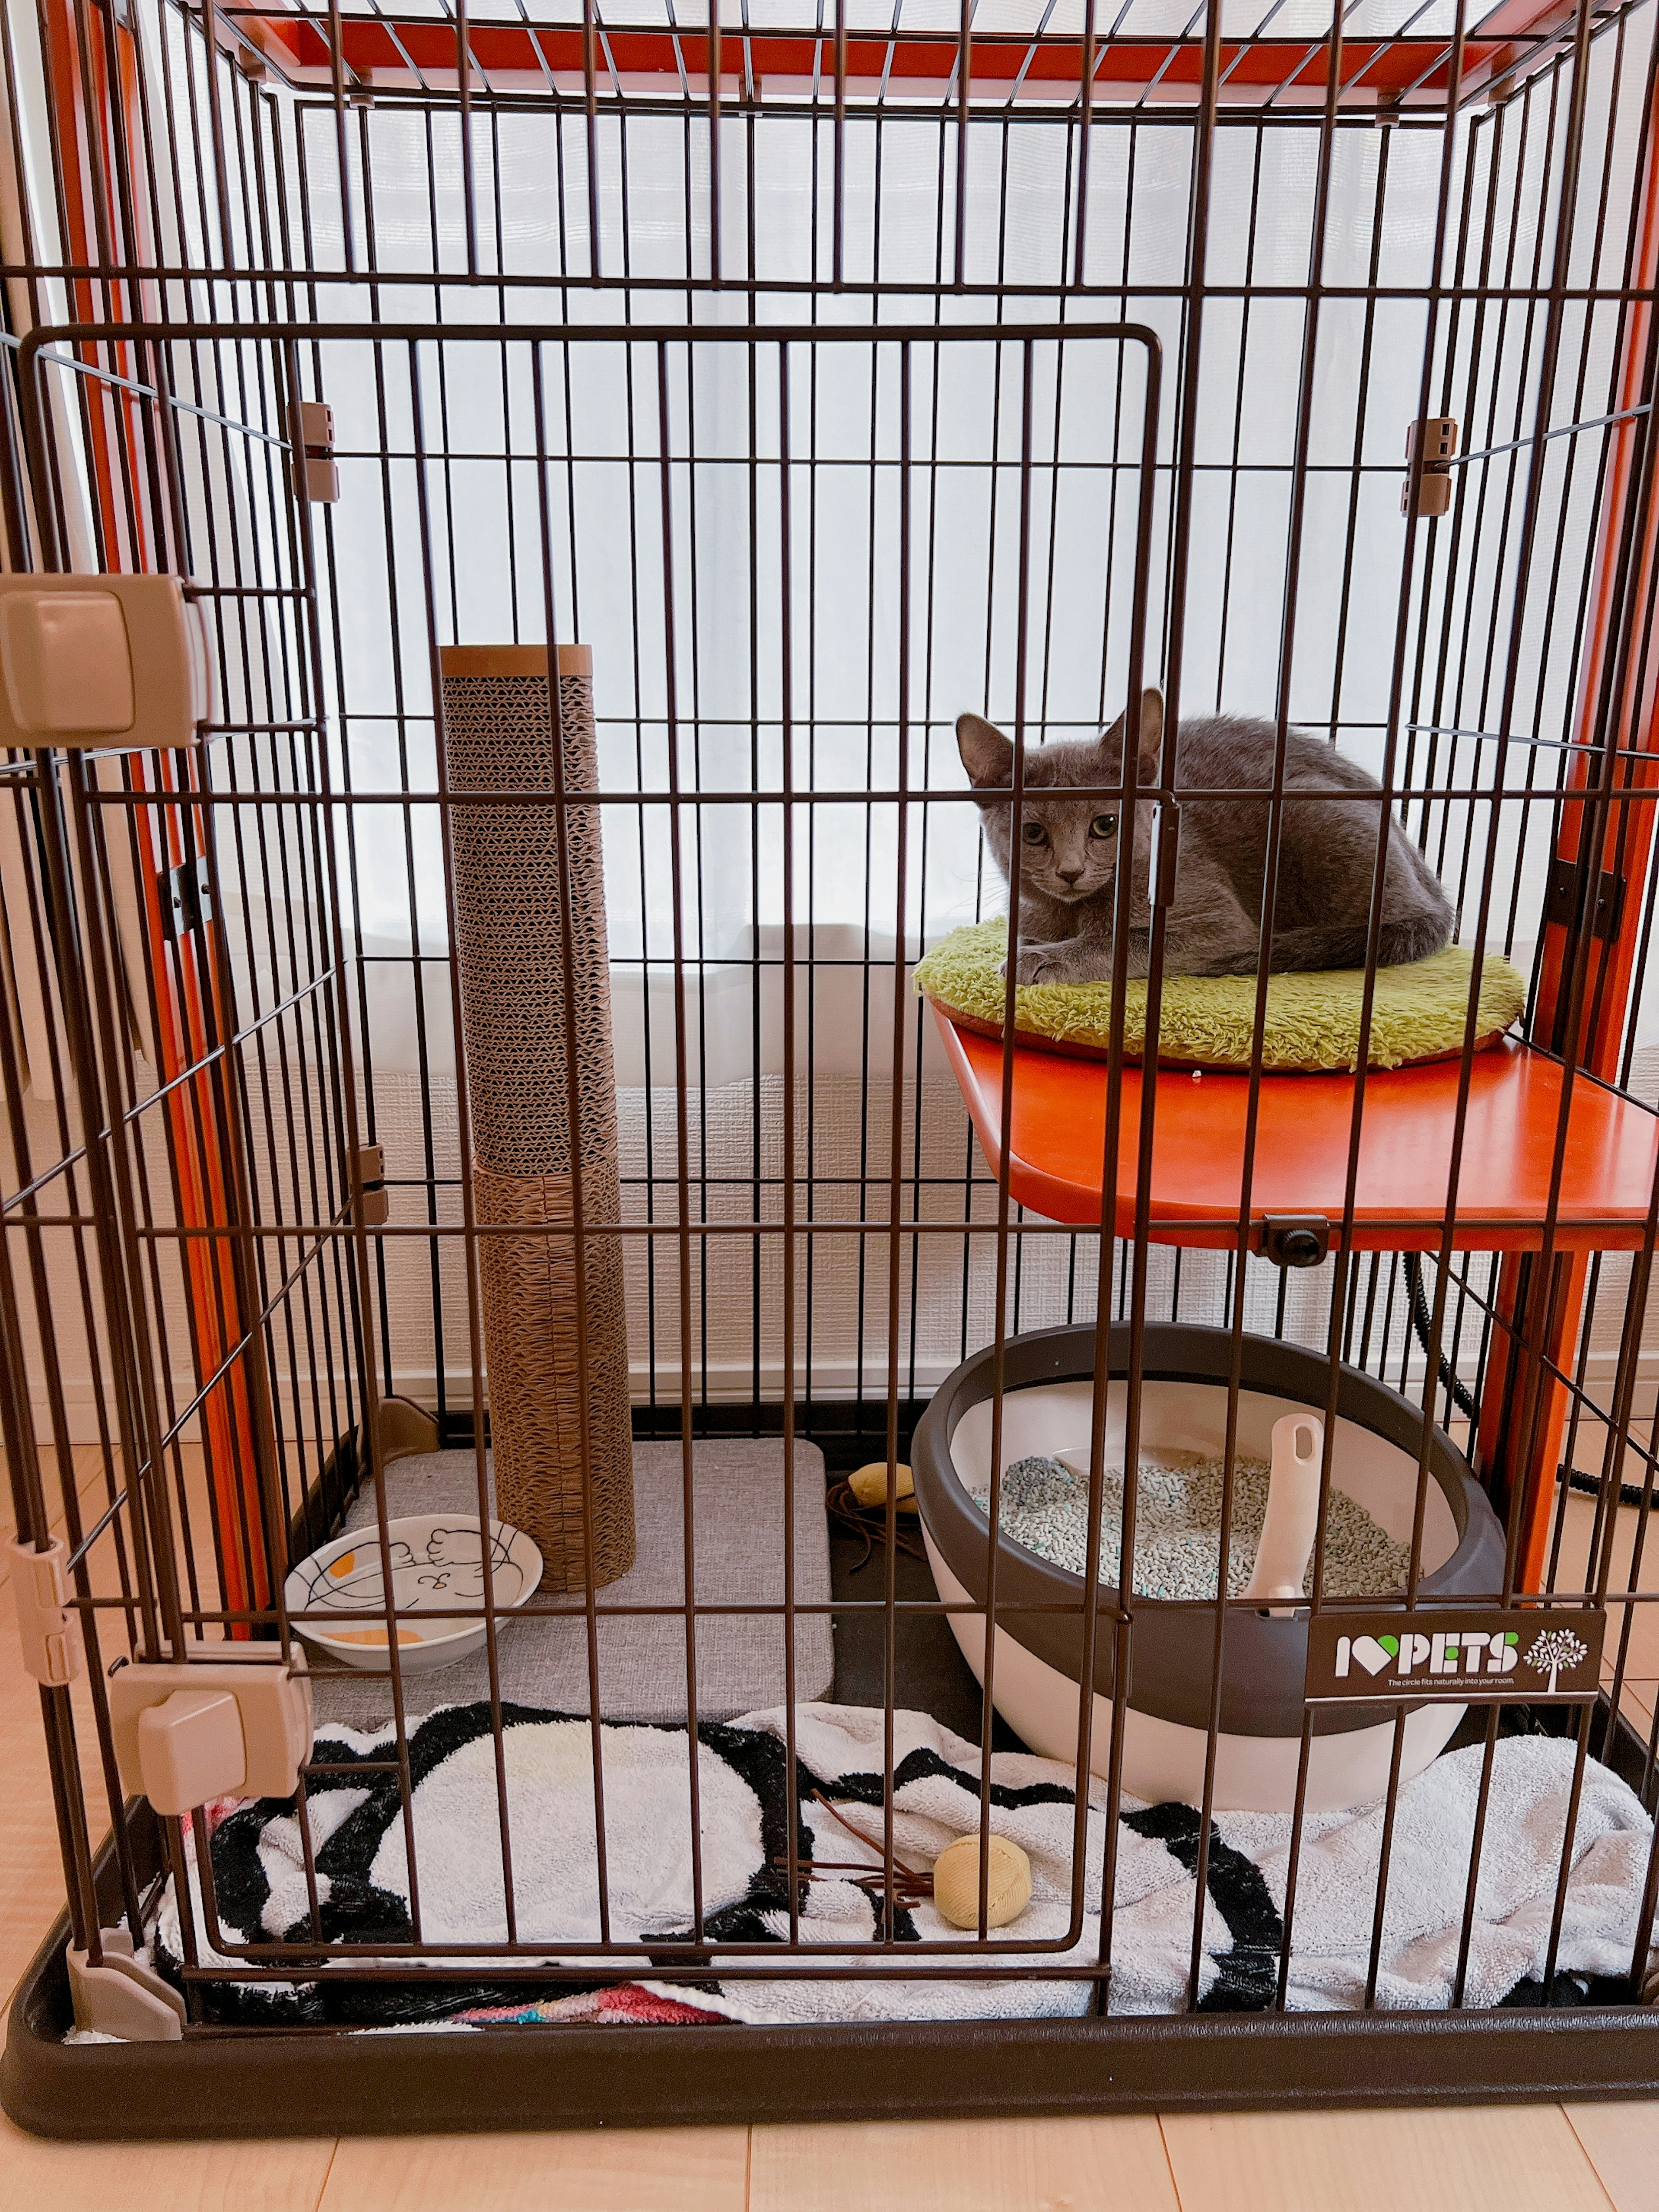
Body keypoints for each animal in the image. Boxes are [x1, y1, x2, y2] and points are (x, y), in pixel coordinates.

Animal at [960, 681, 1451, 978]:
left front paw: (1043, 959)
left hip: (1313, 808)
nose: (1070, 871)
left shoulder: (1222, 922)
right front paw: (1036, 945)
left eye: (1105, 824)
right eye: (1033, 833)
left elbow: (1123, 940)